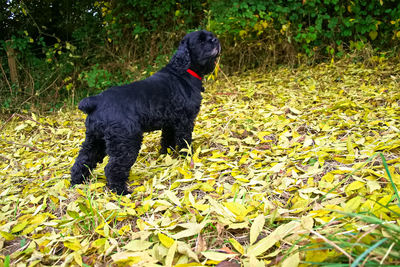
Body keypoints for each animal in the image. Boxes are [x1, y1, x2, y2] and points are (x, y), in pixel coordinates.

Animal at [70, 30, 220, 195]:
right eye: (201, 41)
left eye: (211, 35)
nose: (215, 40)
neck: (183, 71)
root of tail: (97, 101)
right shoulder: (184, 122)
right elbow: (184, 142)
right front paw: (188, 157)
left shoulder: (170, 123)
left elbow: (166, 141)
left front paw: (165, 156)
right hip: (126, 142)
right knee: (112, 168)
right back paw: (122, 191)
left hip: (95, 140)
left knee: (82, 161)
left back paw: (77, 183)